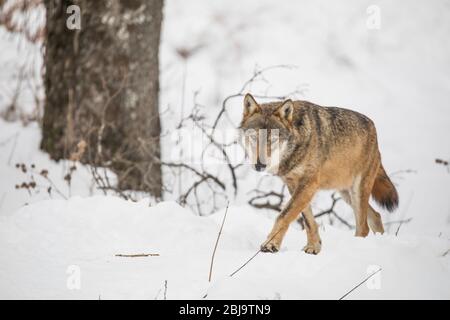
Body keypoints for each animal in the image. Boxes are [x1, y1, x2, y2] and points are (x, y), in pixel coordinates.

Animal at [239, 93, 398, 255]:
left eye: (273, 140)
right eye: (253, 137)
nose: (260, 165)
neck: (298, 141)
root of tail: (373, 127)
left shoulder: (309, 184)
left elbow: (283, 216)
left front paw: (271, 245)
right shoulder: (294, 185)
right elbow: (308, 220)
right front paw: (314, 246)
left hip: (357, 191)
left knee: (363, 227)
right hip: (346, 194)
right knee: (376, 216)